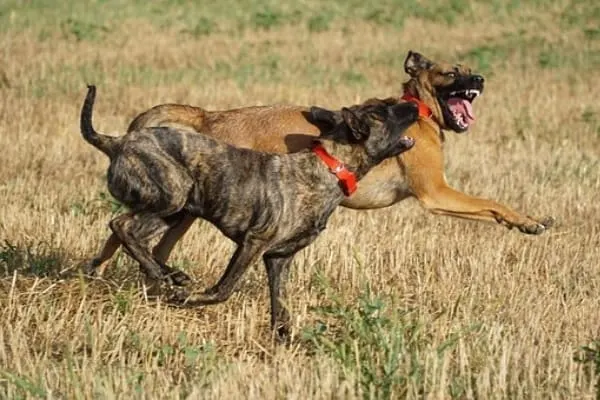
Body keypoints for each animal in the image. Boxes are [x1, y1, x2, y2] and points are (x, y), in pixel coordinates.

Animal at [79, 84, 420, 338]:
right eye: (381, 112)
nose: (414, 106)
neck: (328, 165)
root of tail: (116, 142)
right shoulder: (254, 242)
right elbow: (225, 289)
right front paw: (189, 299)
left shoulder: (278, 258)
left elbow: (280, 307)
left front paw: (284, 341)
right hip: (173, 197)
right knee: (121, 226)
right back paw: (165, 276)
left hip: (173, 211)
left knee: (137, 237)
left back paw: (171, 274)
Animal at [83, 50, 552, 284]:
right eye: (452, 73)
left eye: (469, 70)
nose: (480, 80)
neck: (418, 108)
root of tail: (208, 117)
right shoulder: (436, 194)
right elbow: (493, 202)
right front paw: (527, 221)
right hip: (186, 204)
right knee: (131, 234)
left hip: (185, 209)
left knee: (139, 240)